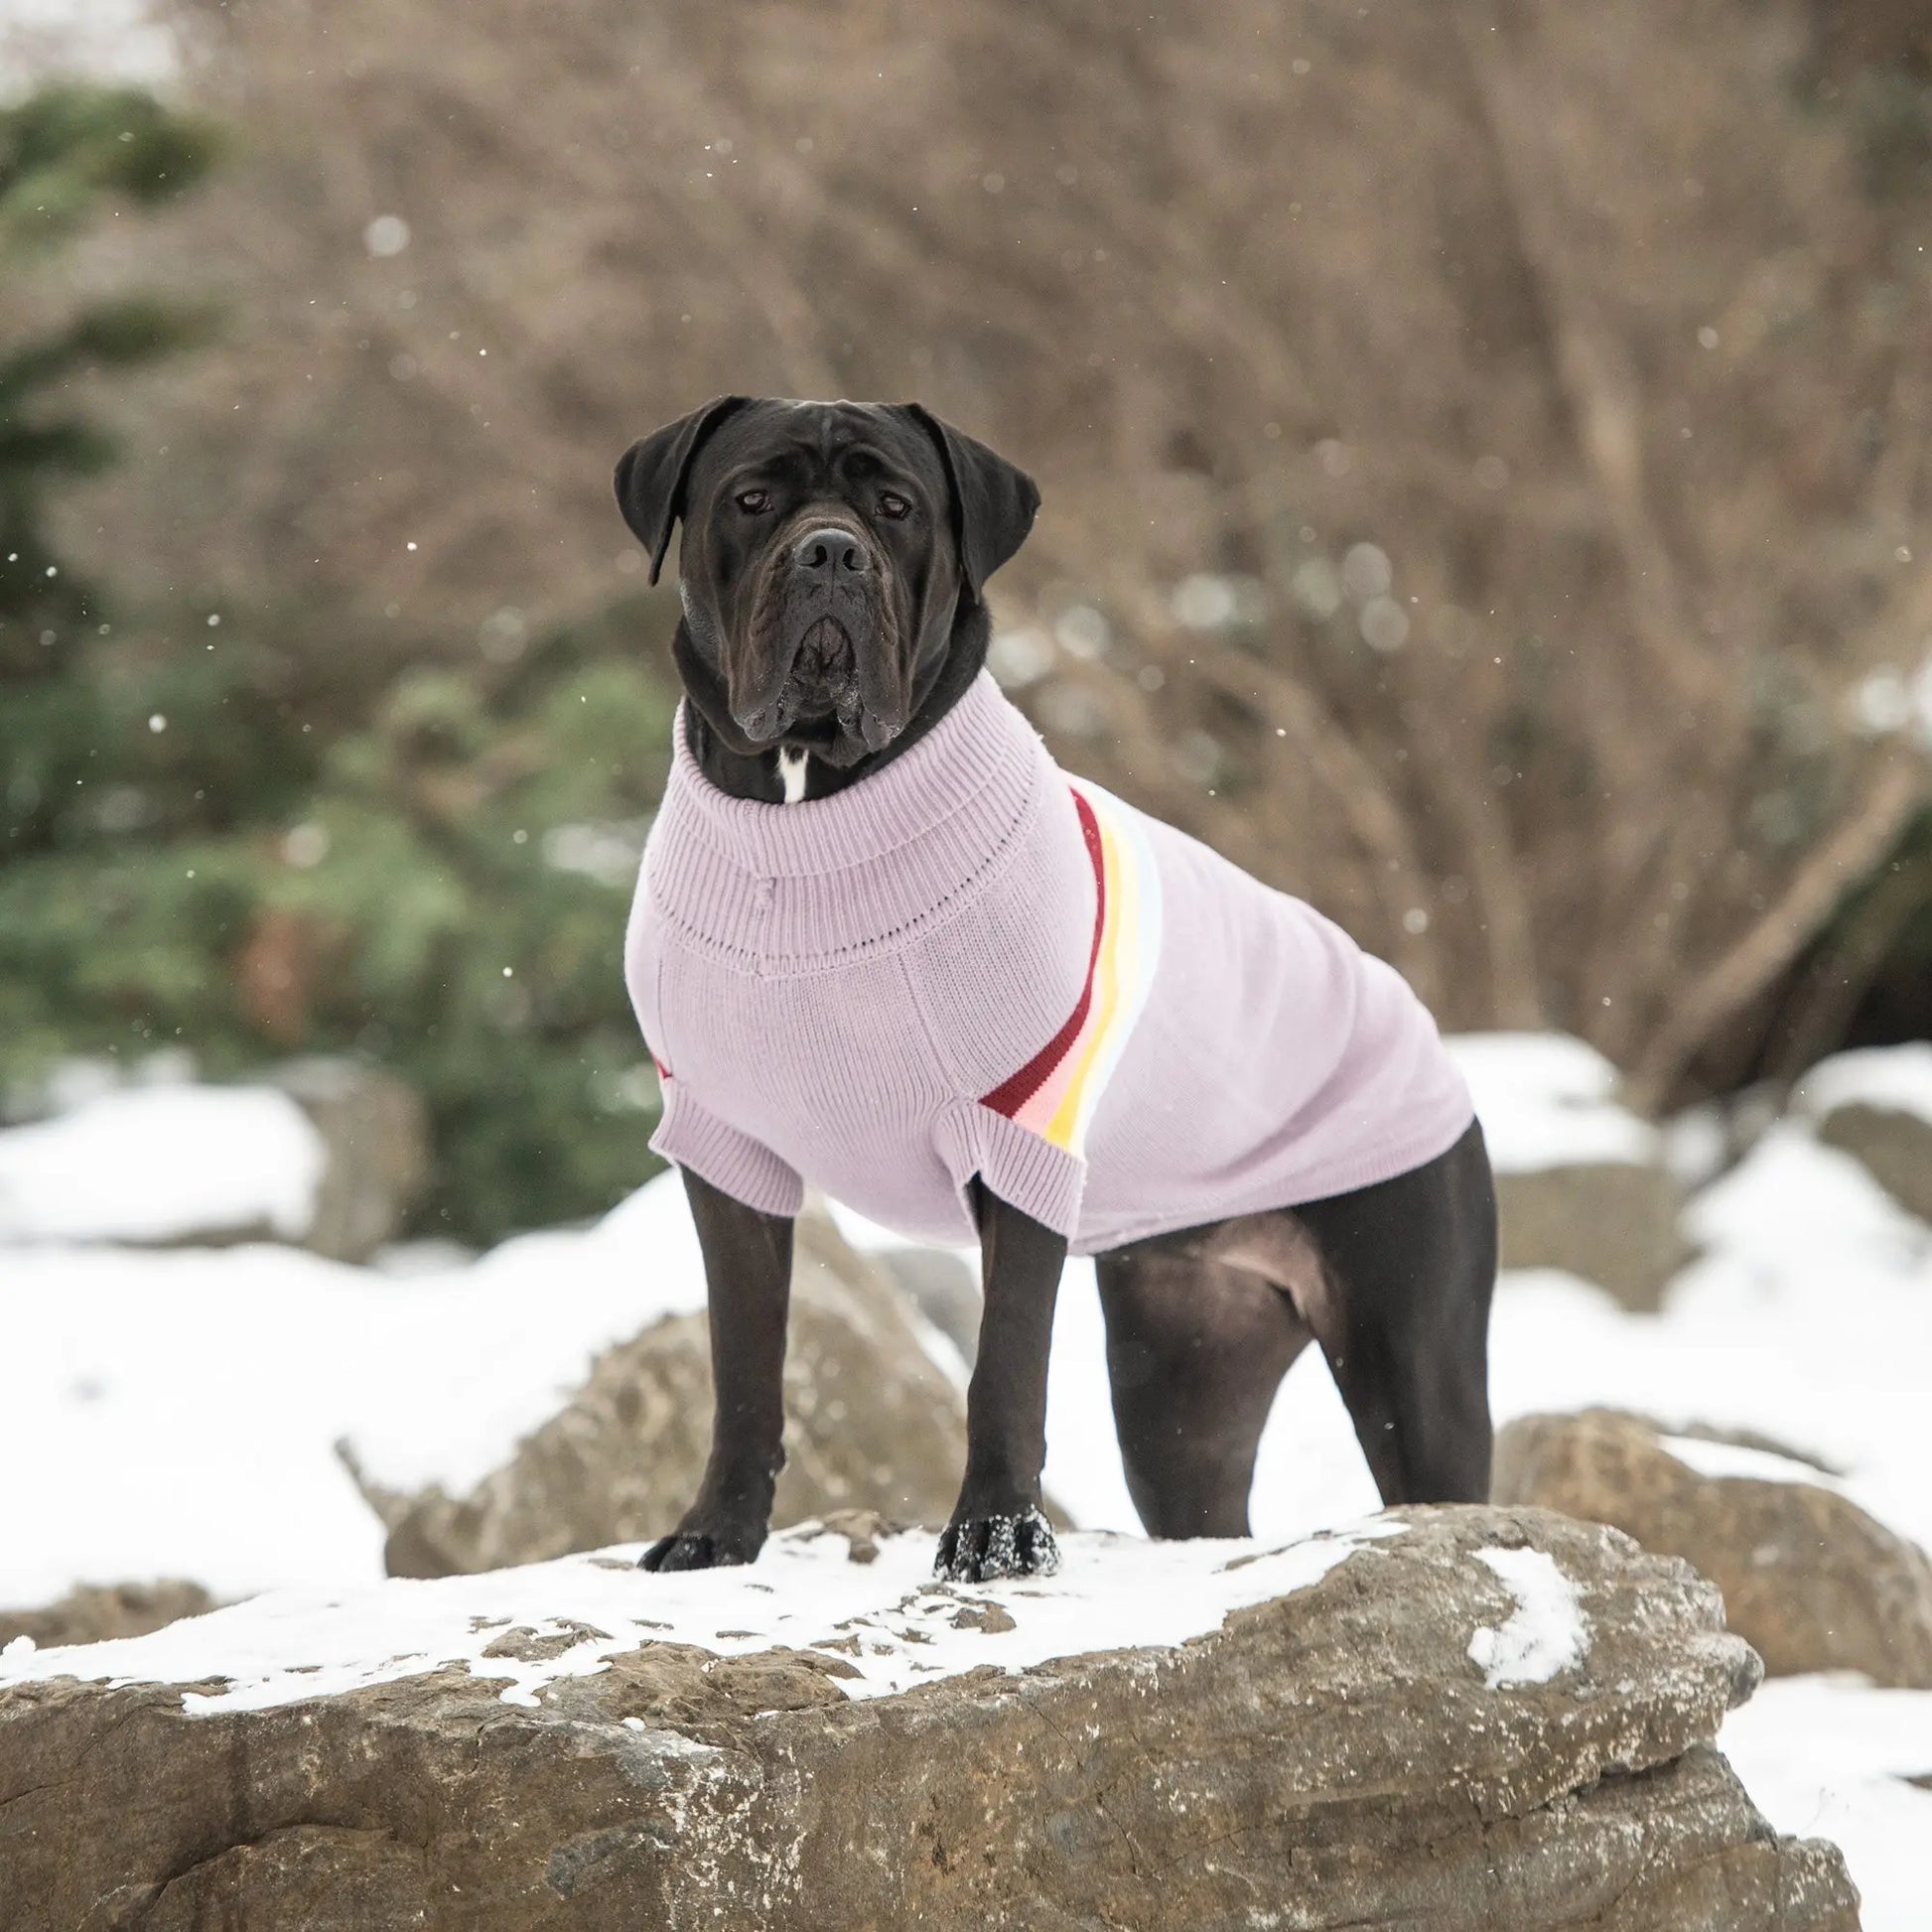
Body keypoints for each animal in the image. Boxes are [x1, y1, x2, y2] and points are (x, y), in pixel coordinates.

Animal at [614, 399, 1491, 1576]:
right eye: (750, 498)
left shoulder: (1014, 1136)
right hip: (1178, 1373)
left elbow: (1005, 1364)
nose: (831, 552)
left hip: (1415, 1347)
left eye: (895, 504)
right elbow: (744, 1363)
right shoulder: (727, 1150)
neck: (809, 808)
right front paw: (716, 1534)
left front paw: (995, 1535)